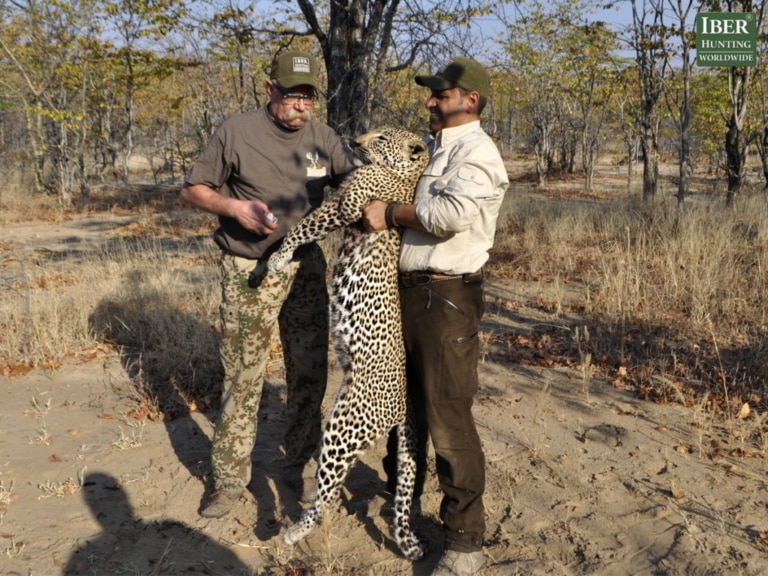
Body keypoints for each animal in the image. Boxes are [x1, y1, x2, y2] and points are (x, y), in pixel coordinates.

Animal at [267, 127, 430, 561]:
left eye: (383, 137)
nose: (356, 138)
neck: (407, 175)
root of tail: (405, 404)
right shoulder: (342, 201)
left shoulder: (346, 206)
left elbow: (301, 228)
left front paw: (278, 257)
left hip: (344, 427)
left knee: (328, 492)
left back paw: (295, 531)